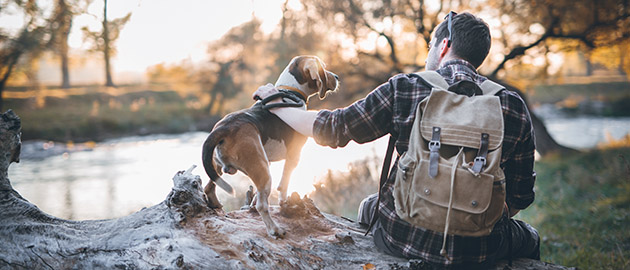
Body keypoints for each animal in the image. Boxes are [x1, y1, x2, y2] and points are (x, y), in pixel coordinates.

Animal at [202, 56, 340, 237]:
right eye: (323, 67)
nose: (337, 77)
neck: (290, 91)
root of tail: (224, 127)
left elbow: (257, 195)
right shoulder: (294, 155)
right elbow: (284, 184)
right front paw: (284, 202)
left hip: (222, 167)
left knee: (209, 188)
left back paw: (215, 205)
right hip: (263, 172)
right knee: (262, 205)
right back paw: (275, 230)